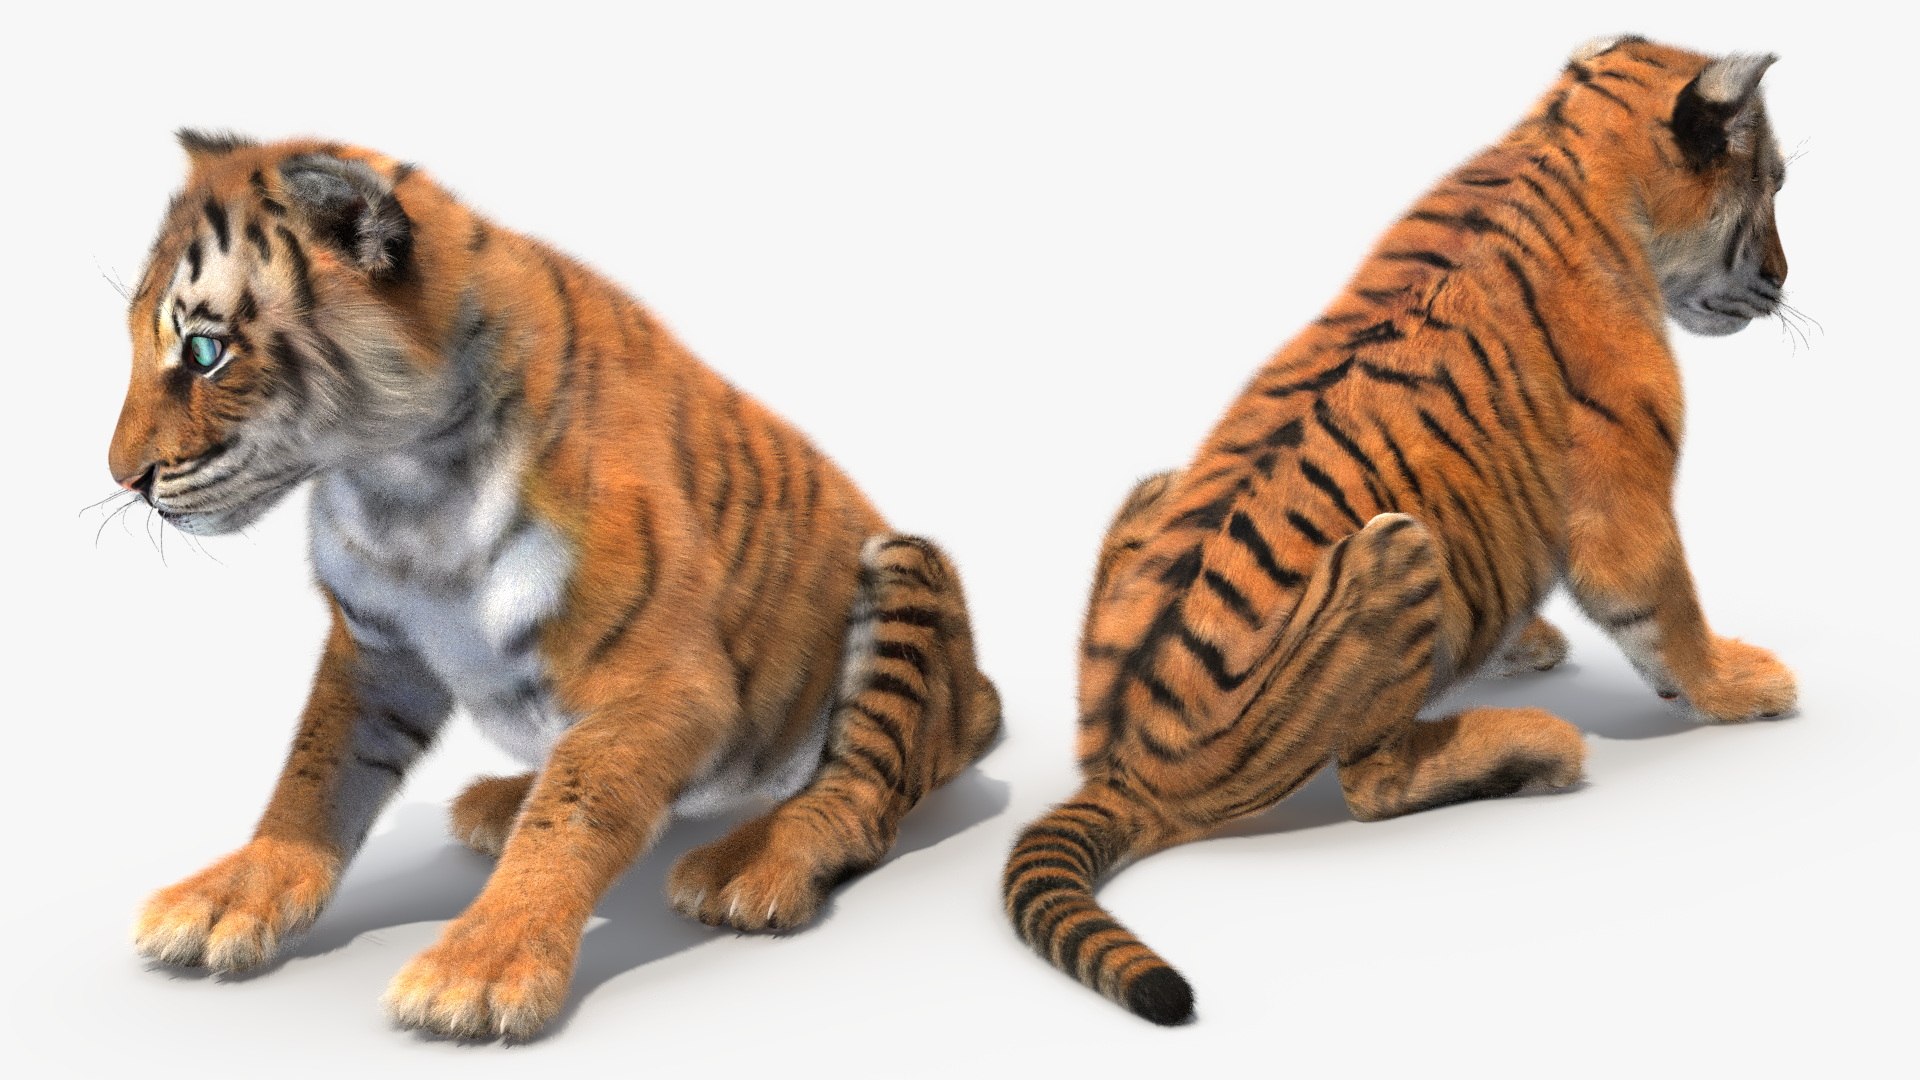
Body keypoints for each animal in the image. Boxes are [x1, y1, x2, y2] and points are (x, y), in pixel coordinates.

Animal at [109, 131, 1002, 1039]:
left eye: (206, 352)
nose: (124, 479)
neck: (401, 489)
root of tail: (978, 696)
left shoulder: (668, 682)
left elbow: (574, 807)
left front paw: (481, 966)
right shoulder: (373, 648)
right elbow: (316, 771)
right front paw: (231, 894)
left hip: (903, 567)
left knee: (859, 798)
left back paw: (748, 866)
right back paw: (502, 802)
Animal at [1001, 36, 1798, 1024]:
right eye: (1772, 185)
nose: (1785, 278)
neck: (1569, 145)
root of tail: (1120, 769)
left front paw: (1530, 636)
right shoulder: (1625, 503)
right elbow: (1670, 615)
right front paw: (1744, 687)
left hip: (1159, 490)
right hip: (1397, 546)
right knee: (1371, 784)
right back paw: (1531, 746)